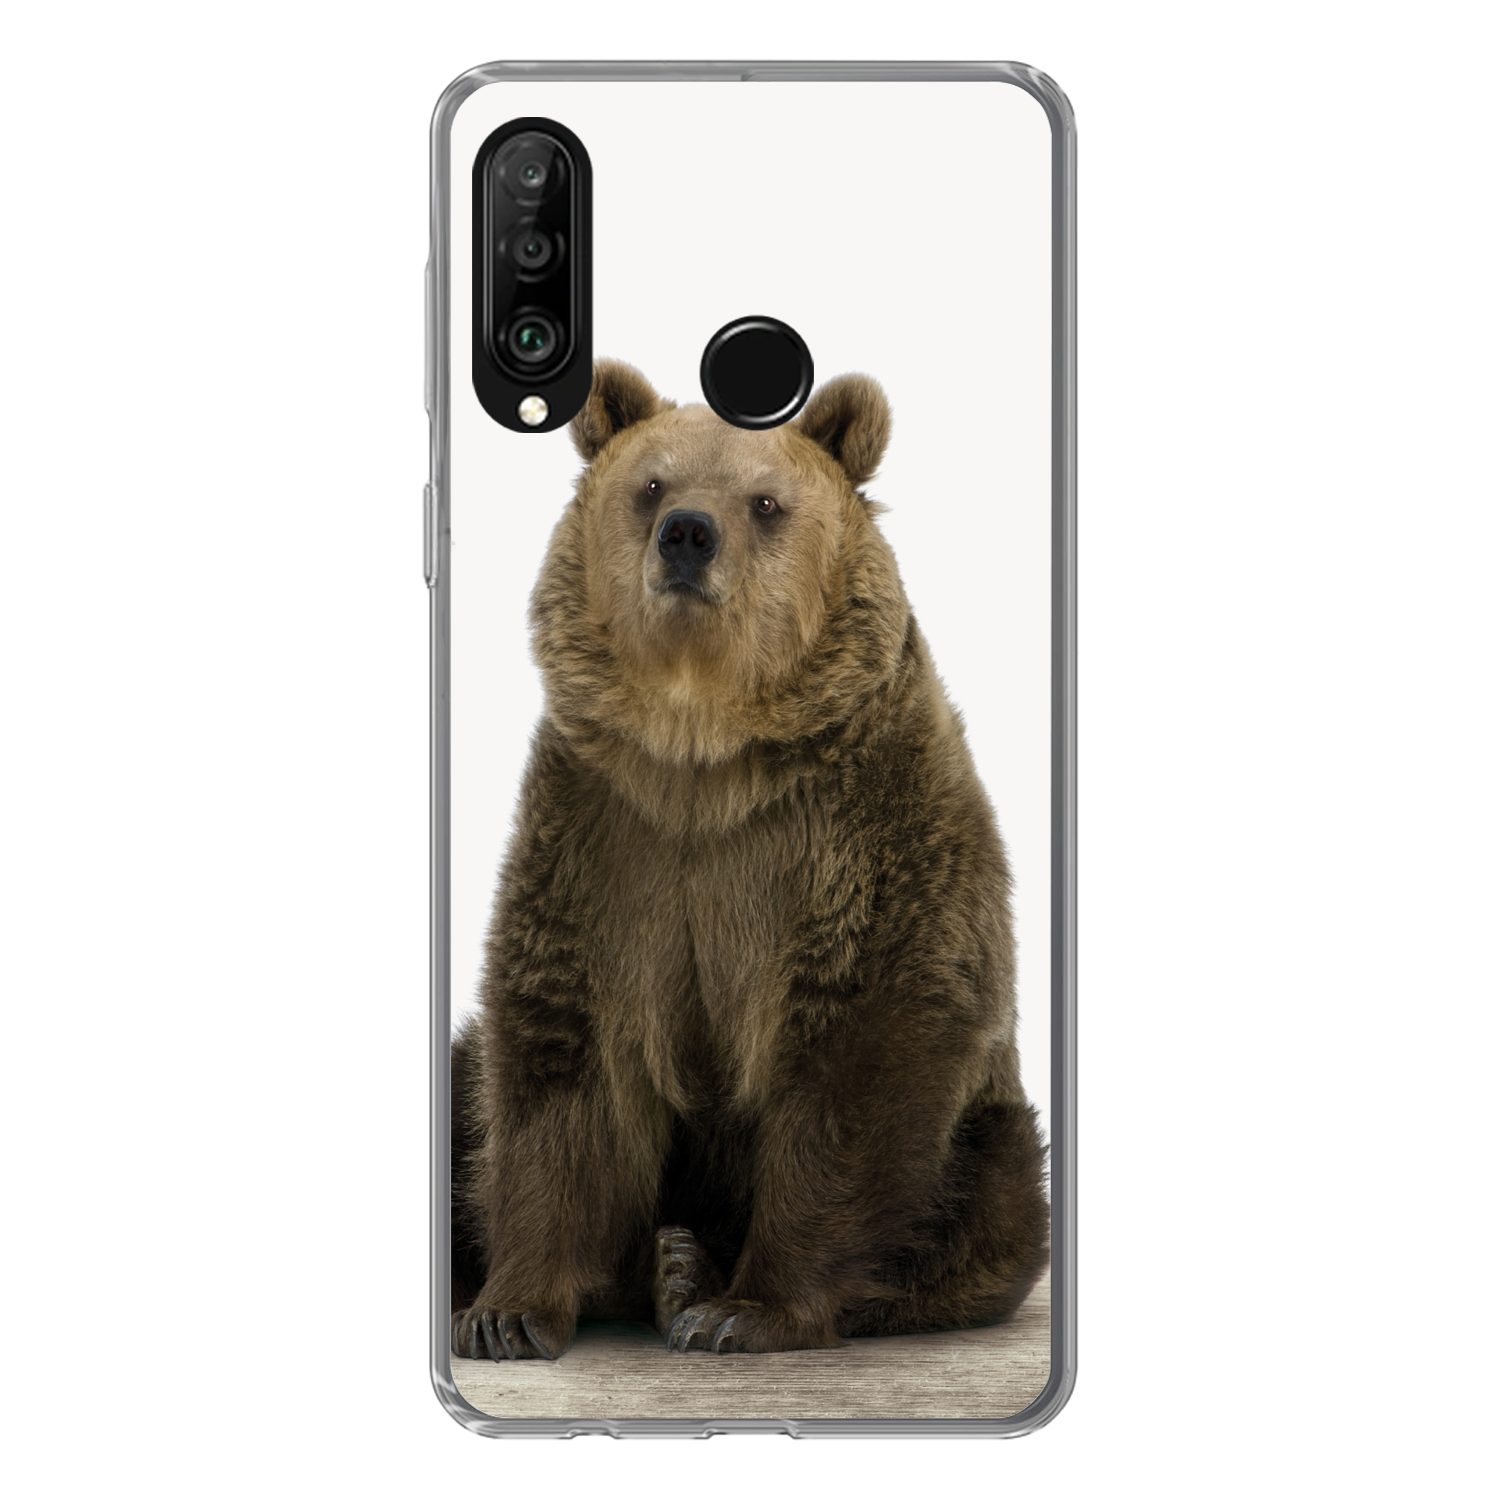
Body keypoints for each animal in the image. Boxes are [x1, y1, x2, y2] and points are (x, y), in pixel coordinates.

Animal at [450, 360, 1049, 1360]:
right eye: (652, 484)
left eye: (765, 501)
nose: (688, 534)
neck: (706, 754)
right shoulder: (604, 836)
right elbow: (558, 1055)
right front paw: (506, 1312)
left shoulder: (859, 832)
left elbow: (860, 1055)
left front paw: (747, 1309)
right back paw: (660, 1266)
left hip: (987, 1137)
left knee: (988, 1200)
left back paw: (701, 1274)